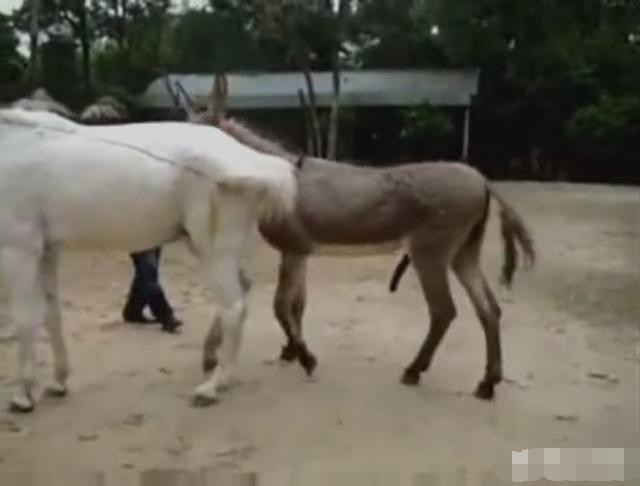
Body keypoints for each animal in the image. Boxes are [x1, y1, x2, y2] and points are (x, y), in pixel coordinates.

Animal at [0, 108, 296, 412]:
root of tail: (245, 158)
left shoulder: (19, 251)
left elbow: (24, 317)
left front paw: (23, 396)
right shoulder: (46, 252)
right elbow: (51, 313)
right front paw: (58, 382)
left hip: (214, 252)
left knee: (233, 309)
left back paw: (213, 386)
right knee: (242, 291)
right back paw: (212, 360)